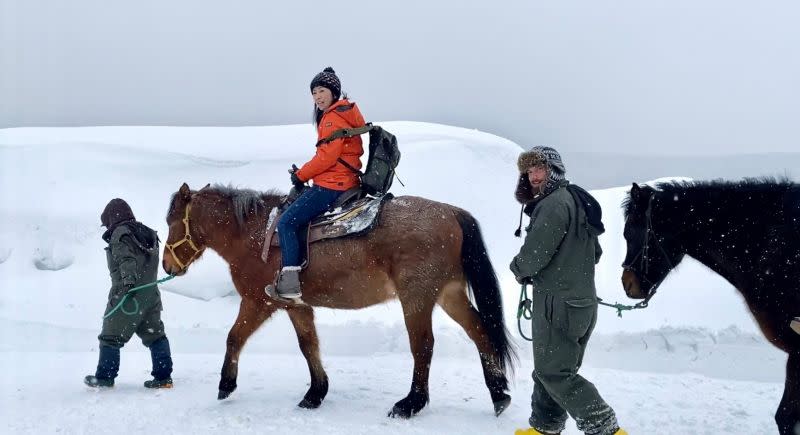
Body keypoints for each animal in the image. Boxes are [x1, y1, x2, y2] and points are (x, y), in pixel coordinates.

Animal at [163, 184, 516, 418]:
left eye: (172, 223)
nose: (167, 266)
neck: (252, 234)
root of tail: (451, 212)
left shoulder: (258, 302)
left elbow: (234, 337)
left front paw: (226, 383)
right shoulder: (298, 306)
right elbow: (308, 345)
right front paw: (315, 392)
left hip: (417, 297)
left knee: (424, 345)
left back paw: (410, 403)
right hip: (449, 293)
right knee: (479, 332)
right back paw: (499, 394)